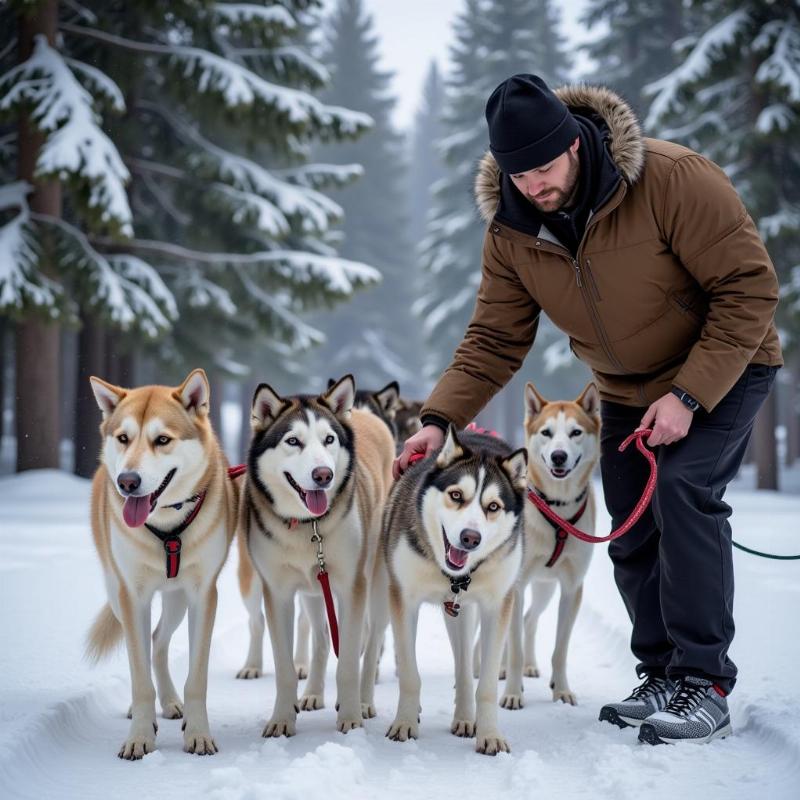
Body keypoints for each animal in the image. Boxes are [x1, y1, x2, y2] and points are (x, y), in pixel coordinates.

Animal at [88, 372, 239, 760]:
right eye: (123, 438)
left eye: (162, 440)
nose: (127, 481)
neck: (168, 528)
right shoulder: (132, 594)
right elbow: (139, 674)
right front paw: (140, 737)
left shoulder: (203, 595)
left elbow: (196, 678)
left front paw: (198, 734)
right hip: (117, 592)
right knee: (143, 645)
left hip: (177, 600)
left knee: (157, 641)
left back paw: (171, 702)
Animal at [241, 376, 396, 736]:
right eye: (293, 441)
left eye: (329, 439)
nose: (323, 474)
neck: (307, 527)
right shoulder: (278, 592)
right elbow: (285, 666)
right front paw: (282, 719)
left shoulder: (352, 587)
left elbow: (350, 660)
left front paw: (350, 717)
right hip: (313, 591)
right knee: (322, 638)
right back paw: (312, 693)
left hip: (377, 584)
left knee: (372, 641)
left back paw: (364, 700)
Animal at [378, 428, 528, 752]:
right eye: (456, 495)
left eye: (493, 506)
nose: (470, 537)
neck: (456, 576)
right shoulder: (403, 599)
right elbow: (409, 673)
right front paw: (404, 723)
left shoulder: (497, 605)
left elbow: (485, 685)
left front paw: (490, 735)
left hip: (462, 613)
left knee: (463, 667)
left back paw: (465, 717)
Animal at [500, 384, 600, 708]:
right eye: (546, 432)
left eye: (575, 432)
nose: (558, 456)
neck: (558, 511)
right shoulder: (516, 584)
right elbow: (513, 646)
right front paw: (512, 694)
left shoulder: (572, 587)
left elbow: (560, 649)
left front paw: (562, 690)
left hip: (545, 587)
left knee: (530, 619)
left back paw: (531, 666)